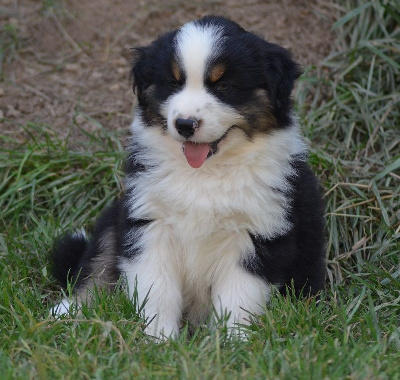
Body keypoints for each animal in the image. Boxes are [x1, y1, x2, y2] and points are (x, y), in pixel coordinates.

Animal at [50, 16, 324, 340]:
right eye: (173, 83)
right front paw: (160, 339)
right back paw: (67, 313)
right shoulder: (150, 221)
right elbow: (157, 290)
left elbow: (237, 297)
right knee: (98, 265)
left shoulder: (257, 234)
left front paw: (233, 343)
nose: (184, 124)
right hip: (115, 218)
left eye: (224, 86)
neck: (204, 173)